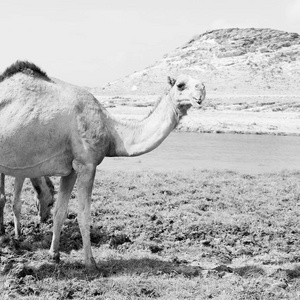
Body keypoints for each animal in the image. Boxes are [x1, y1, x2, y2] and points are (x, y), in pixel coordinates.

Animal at [0, 59, 205, 270]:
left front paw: (54, 255)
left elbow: (60, 211)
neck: (112, 130)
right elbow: (84, 214)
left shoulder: (71, 170)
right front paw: (91, 263)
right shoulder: (87, 164)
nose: (201, 94)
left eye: (201, 83)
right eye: (180, 85)